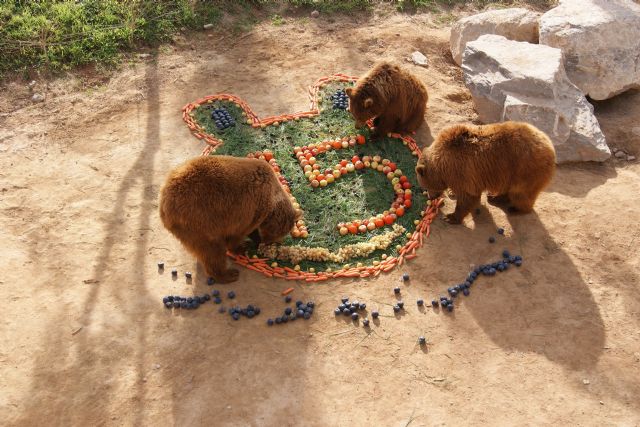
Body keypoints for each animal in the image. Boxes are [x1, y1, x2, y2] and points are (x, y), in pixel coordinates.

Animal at [159, 155, 298, 283]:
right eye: (276, 236)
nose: (269, 243)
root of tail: (165, 203)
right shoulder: (250, 208)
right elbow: (238, 233)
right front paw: (242, 246)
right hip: (199, 219)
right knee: (212, 250)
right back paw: (228, 274)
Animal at [415, 121, 556, 224]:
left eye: (425, 186)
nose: (431, 197)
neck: (442, 167)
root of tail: (550, 146)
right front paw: (452, 193)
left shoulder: (461, 170)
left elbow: (467, 196)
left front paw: (450, 217)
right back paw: (494, 196)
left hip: (525, 169)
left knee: (520, 193)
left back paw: (515, 209)